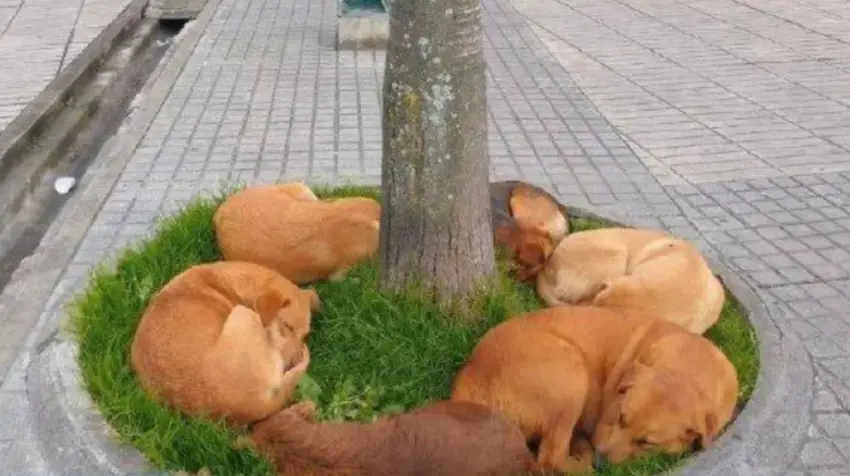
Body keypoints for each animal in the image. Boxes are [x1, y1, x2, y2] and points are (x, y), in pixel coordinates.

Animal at [450, 304, 736, 472]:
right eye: (620, 418)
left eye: (646, 442)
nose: (601, 462)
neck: (691, 363)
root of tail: (470, 374)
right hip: (572, 370)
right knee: (550, 460)